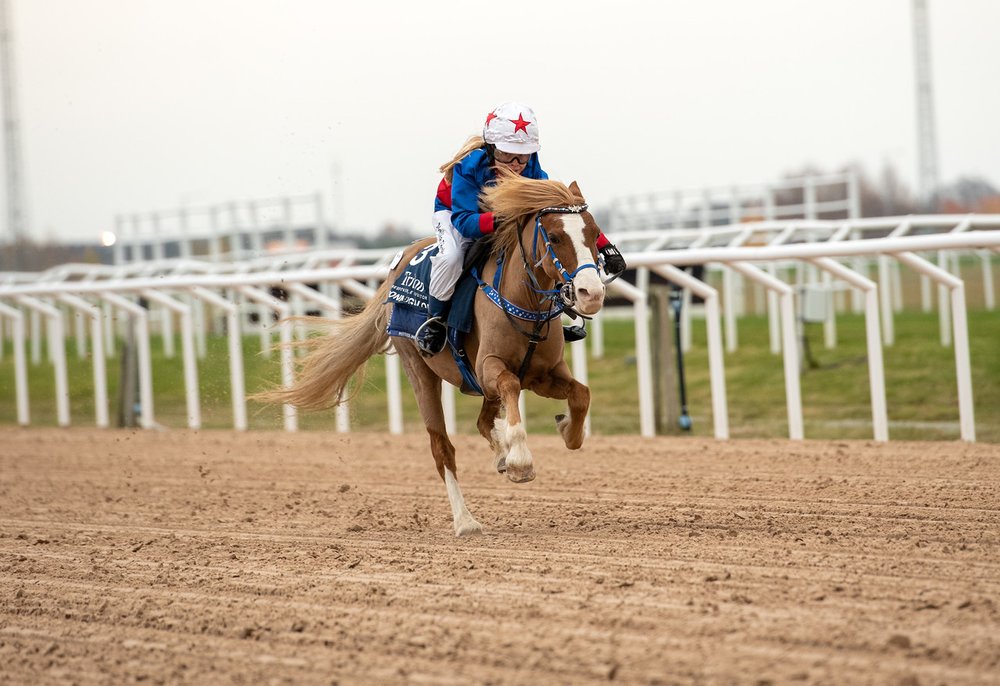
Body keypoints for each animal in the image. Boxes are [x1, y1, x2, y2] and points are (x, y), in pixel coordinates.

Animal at [254, 176, 604, 536]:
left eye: (594, 234)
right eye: (555, 237)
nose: (592, 293)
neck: (525, 305)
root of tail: (398, 265)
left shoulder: (543, 374)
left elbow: (581, 394)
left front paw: (566, 430)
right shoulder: (491, 367)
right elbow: (508, 385)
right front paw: (520, 460)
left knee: (483, 421)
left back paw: (500, 455)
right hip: (419, 370)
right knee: (442, 447)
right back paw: (466, 520)